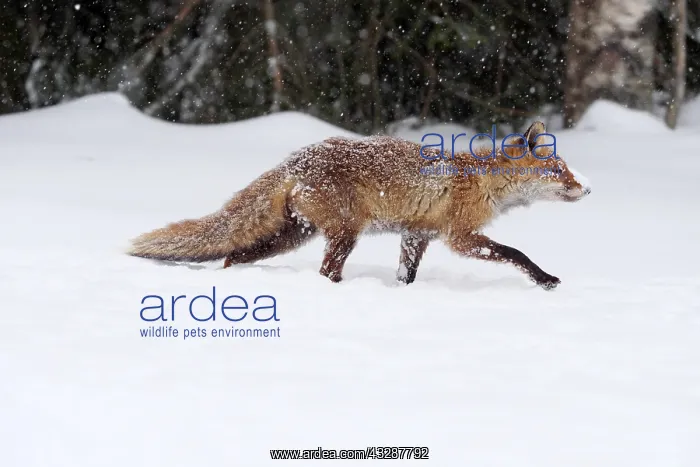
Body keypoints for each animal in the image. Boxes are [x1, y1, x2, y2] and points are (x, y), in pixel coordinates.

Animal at [129, 121, 590, 290]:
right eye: (559, 170)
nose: (586, 190)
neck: (480, 179)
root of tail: (296, 159)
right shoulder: (460, 236)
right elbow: (516, 253)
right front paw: (545, 279)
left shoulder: (417, 234)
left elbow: (407, 275)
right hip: (345, 232)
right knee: (325, 272)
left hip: (293, 235)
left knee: (233, 256)